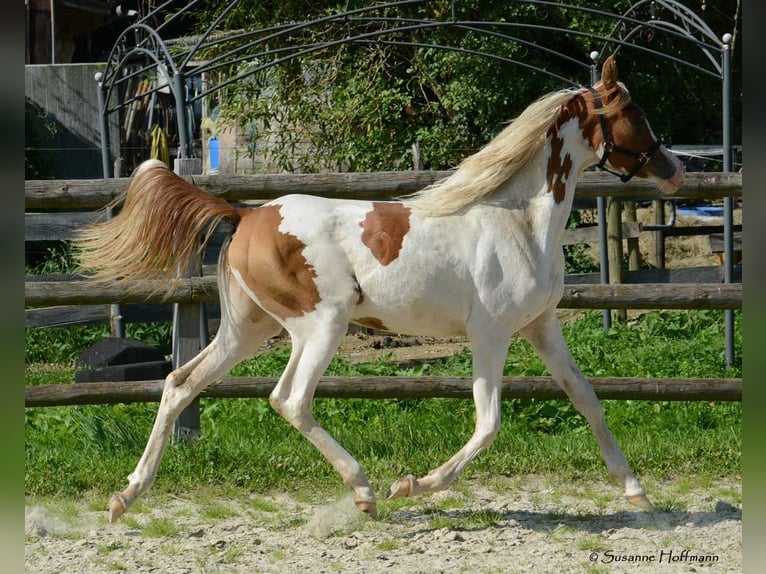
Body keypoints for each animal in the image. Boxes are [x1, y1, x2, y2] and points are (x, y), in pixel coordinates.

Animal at [75, 56, 684, 523]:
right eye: (633, 113)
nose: (674, 169)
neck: (518, 221)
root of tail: (245, 215)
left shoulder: (540, 325)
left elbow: (587, 399)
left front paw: (637, 492)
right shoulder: (490, 333)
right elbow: (488, 423)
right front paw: (412, 485)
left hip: (249, 329)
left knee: (180, 383)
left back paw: (125, 497)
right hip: (320, 325)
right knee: (289, 398)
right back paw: (366, 490)